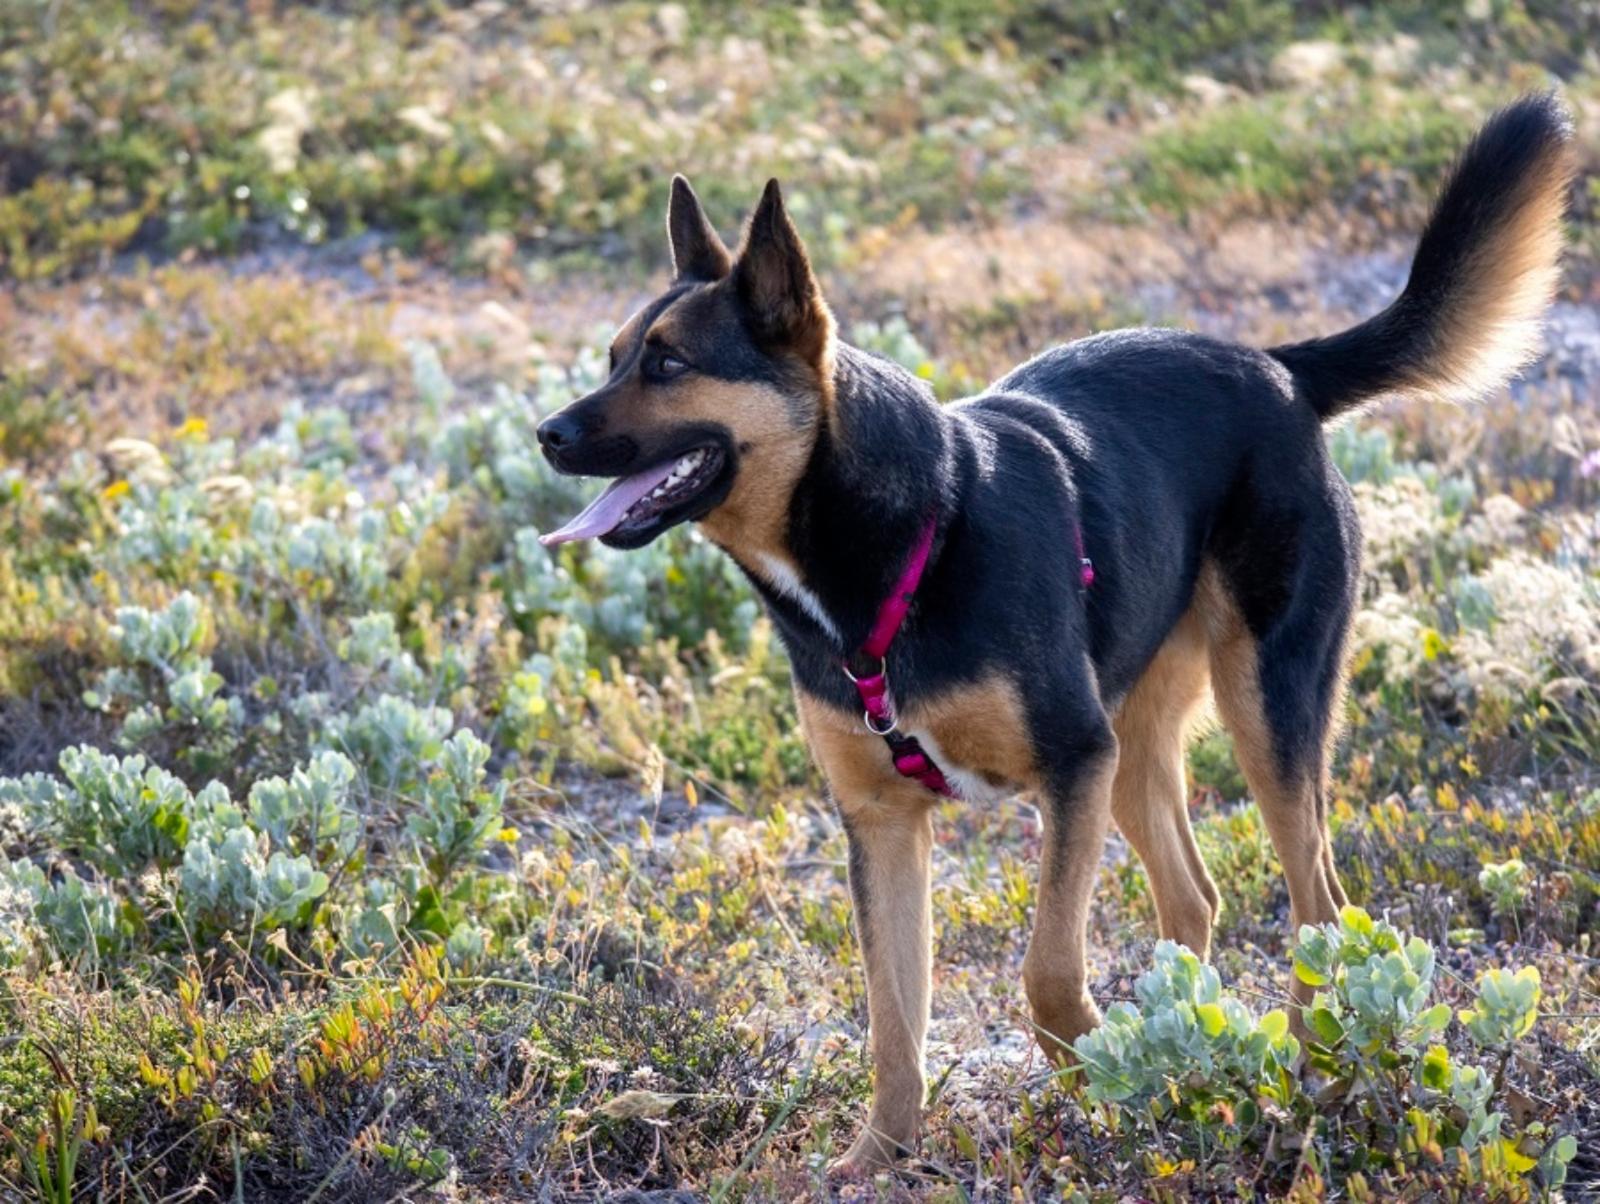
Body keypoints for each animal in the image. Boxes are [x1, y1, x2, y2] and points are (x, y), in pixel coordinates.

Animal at [535, 94, 1574, 1171]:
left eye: (667, 364)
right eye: (615, 356)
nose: (548, 434)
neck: (904, 539)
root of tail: (1276, 367)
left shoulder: (1071, 764)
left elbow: (1044, 975)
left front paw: (1104, 1075)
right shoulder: (886, 823)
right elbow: (893, 1017)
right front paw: (883, 1155)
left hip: (1264, 705)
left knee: (1320, 907)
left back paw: (1308, 1076)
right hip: (1137, 740)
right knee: (1194, 897)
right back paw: (1194, 1040)